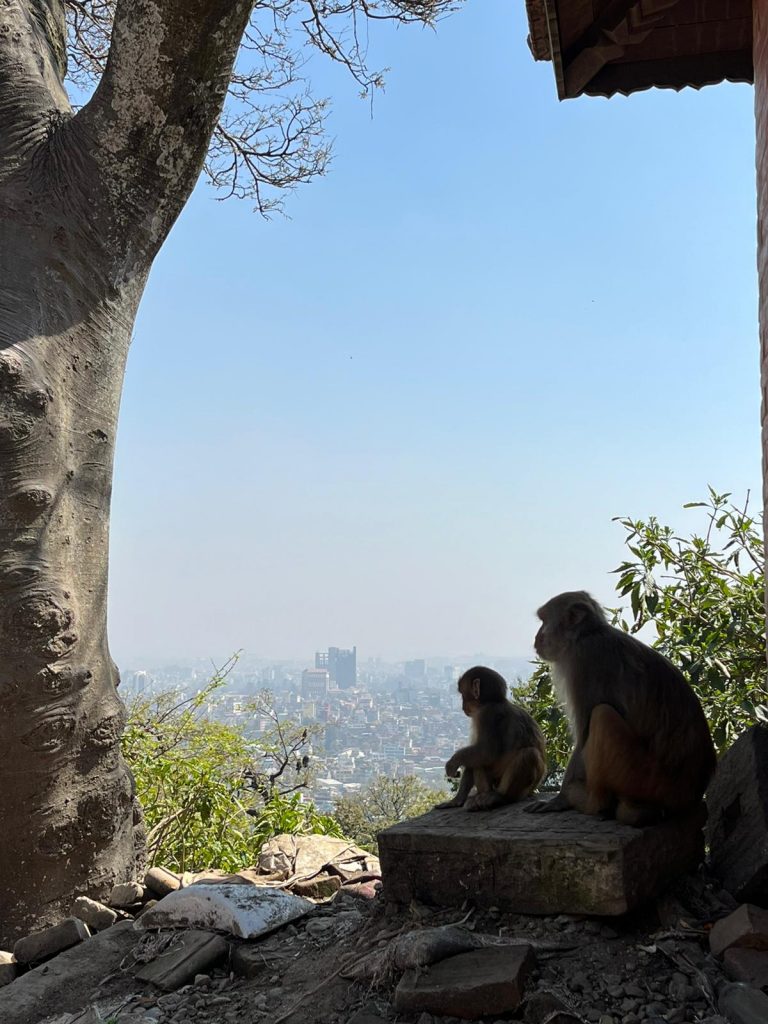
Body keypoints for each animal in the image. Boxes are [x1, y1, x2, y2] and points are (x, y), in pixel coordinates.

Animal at [436, 666, 547, 811]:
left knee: (529, 754)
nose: (462, 706)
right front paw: (457, 800)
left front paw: (453, 762)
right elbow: (478, 755)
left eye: (462, 694)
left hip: (521, 791)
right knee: (476, 762)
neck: (495, 701)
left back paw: (500, 798)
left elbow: (486, 751)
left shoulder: (486, 714)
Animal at [525, 591, 717, 827]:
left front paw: (560, 799)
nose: (537, 637)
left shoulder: (586, 661)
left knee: (601, 715)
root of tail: (692, 794)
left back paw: (590, 802)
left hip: (644, 777)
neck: (585, 635)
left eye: (544, 621)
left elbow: (584, 733)